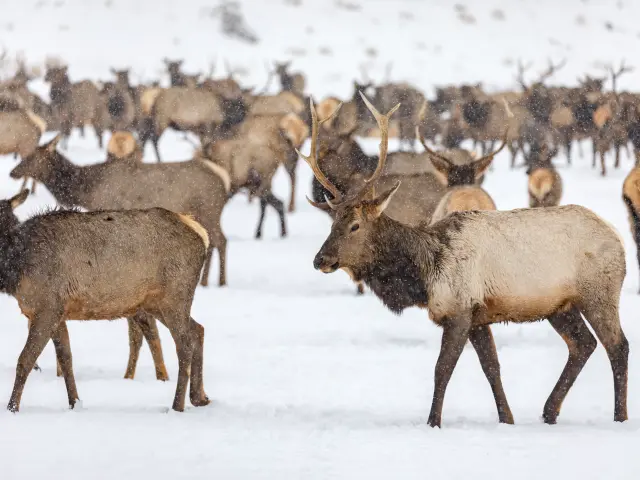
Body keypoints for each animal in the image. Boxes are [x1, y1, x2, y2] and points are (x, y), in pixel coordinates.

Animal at [0, 202, 210, 412]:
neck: (15, 269)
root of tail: (201, 233)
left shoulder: (47, 308)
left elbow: (25, 360)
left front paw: (12, 408)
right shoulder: (58, 312)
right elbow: (66, 359)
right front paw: (74, 402)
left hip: (175, 296)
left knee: (184, 344)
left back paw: (177, 405)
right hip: (156, 303)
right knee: (197, 329)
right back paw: (200, 398)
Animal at [10, 135, 230, 288]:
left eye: (31, 156)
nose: (12, 172)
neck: (86, 189)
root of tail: (224, 177)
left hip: (209, 209)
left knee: (221, 240)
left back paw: (219, 282)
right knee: (214, 240)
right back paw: (206, 281)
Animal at [303, 93, 629, 427]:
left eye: (355, 225)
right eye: (333, 222)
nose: (320, 259)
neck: (424, 275)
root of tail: (617, 238)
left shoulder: (459, 310)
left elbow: (442, 369)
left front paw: (433, 422)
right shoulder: (478, 316)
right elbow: (492, 368)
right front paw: (507, 418)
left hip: (598, 293)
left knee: (618, 346)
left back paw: (619, 416)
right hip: (559, 306)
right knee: (583, 344)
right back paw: (549, 411)